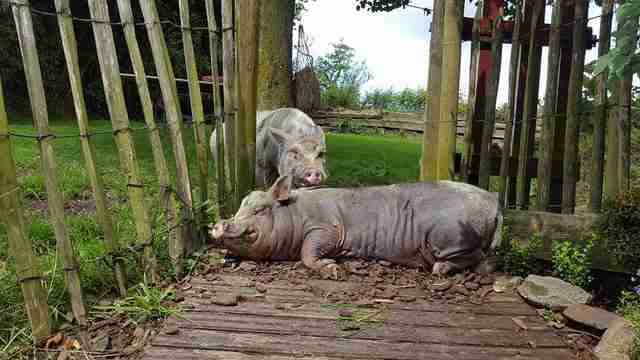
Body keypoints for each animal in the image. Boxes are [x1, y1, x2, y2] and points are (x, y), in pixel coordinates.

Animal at [212, 175, 502, 278]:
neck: (296, 213)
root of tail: (494, 203)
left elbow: (309, 252)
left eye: (260, 210)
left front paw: (334, 270)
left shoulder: (327, 228)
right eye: (241, 206)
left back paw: (439, 270)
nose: (219, 224)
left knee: (477, 256)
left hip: (451, 236)